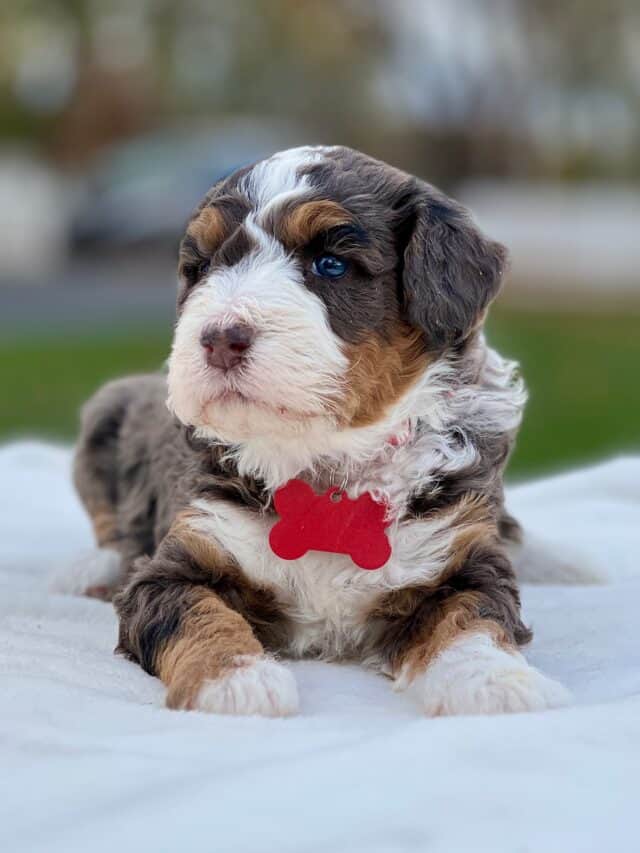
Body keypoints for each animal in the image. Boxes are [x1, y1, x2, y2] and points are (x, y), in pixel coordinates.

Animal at [72, 143, 568, 716]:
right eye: (202, 267)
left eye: (330, 264)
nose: (219, 338)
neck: (328, 466)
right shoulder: (178, 560)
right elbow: (196, 614)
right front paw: (237, 680)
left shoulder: (458, 557)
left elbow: (473, 618)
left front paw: (494, 681)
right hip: (105, 414)